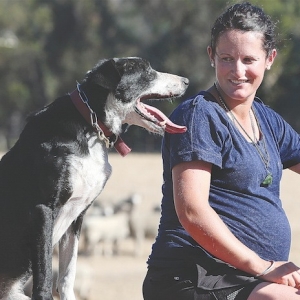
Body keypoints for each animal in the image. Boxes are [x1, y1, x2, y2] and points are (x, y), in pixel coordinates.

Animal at [0, 56, 188, 300]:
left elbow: (67, 275)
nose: (186, 81)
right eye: (147, 71)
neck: (91, 125)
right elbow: (45, 279)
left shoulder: (78, 214)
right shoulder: (42, 208)